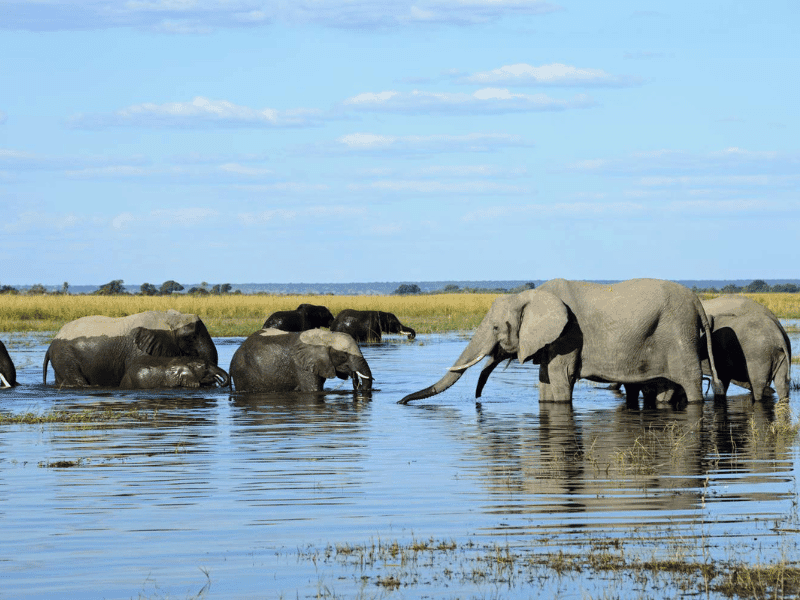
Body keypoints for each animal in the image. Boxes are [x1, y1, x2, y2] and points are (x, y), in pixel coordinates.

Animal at [230, 328, 373, 393]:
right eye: (343, 355)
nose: (358, 385)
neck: (326, 337)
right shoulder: (302, 366)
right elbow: (313, 390)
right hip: (243, 373)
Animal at [400, 278, 724, 405]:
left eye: (495, 327)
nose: (400, 401)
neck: (530, 295)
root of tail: (698, 302)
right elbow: (545, 382)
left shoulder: (569, 334)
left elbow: (560, 378)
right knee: (664, 387)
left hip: (678, 330)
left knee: (690, 381)